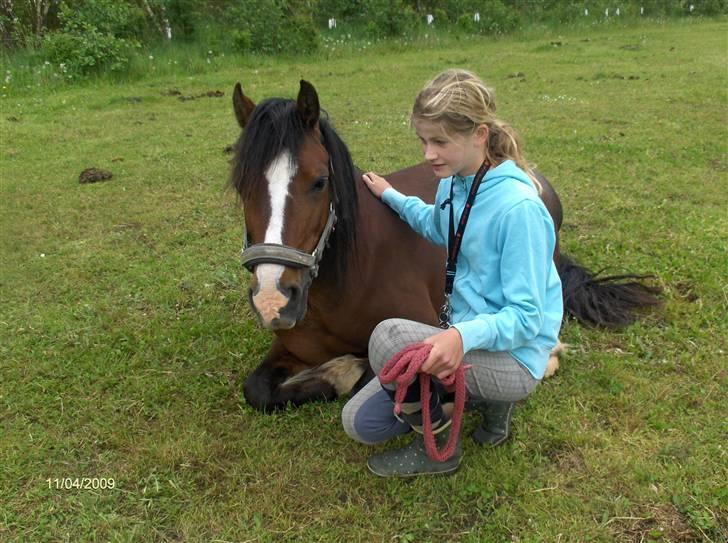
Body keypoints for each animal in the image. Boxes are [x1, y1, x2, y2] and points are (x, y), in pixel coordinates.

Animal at [230, 79, 664, 412]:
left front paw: (342, 369)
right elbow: (257, 391)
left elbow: (371, 372)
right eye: (240, 186)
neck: (349, 280)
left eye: (320, 181)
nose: (272, 300)